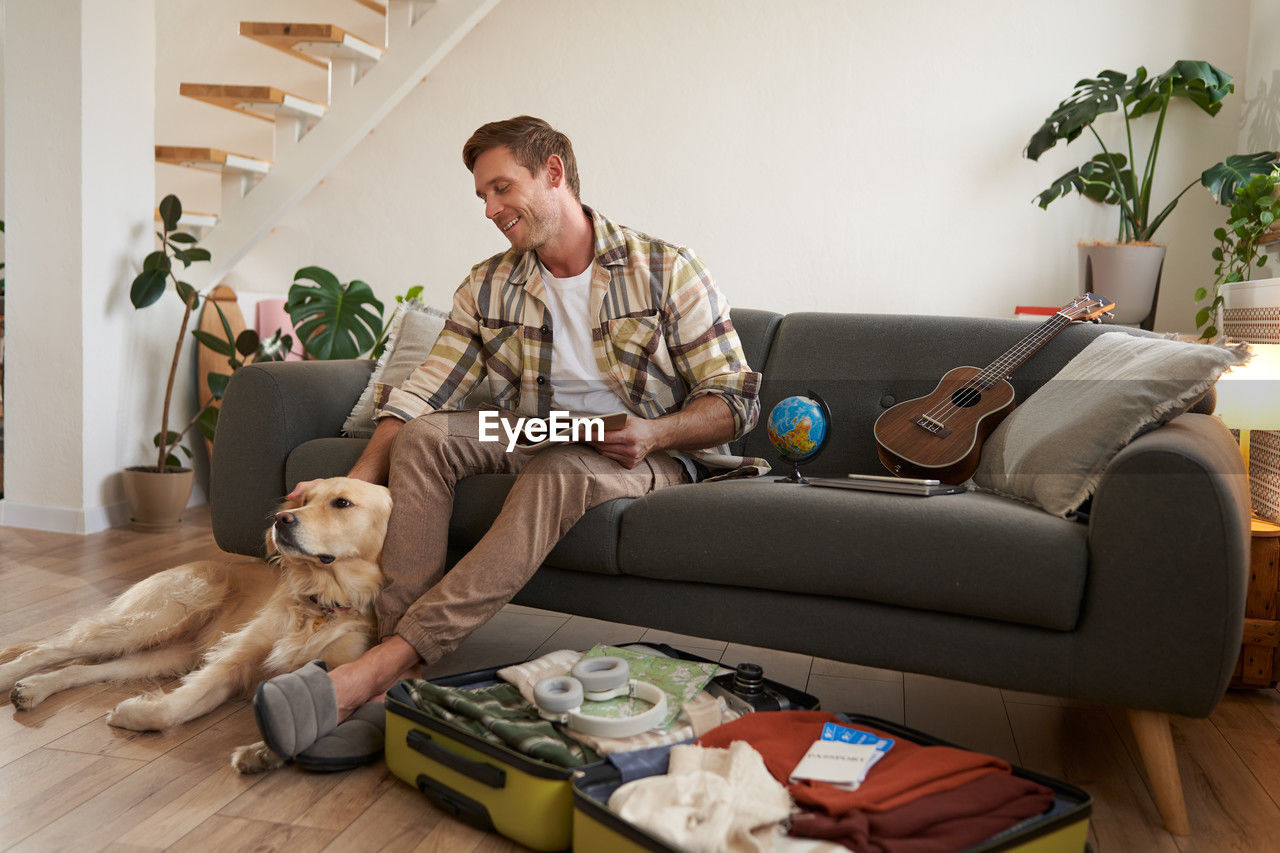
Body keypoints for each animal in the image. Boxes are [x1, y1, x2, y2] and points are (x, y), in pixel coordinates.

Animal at [0, 479, 391, 768]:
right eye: (304, 499)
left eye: (342, 503)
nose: (282, 519)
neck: (323, 600)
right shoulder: (233, 659)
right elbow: (173, 709)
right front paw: (131, 714)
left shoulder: (338, 670)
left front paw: (263, 751)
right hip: (154, 618)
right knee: (50, 649)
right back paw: (12, 678)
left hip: (166, 654)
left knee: (83, 668)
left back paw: (33, 688)